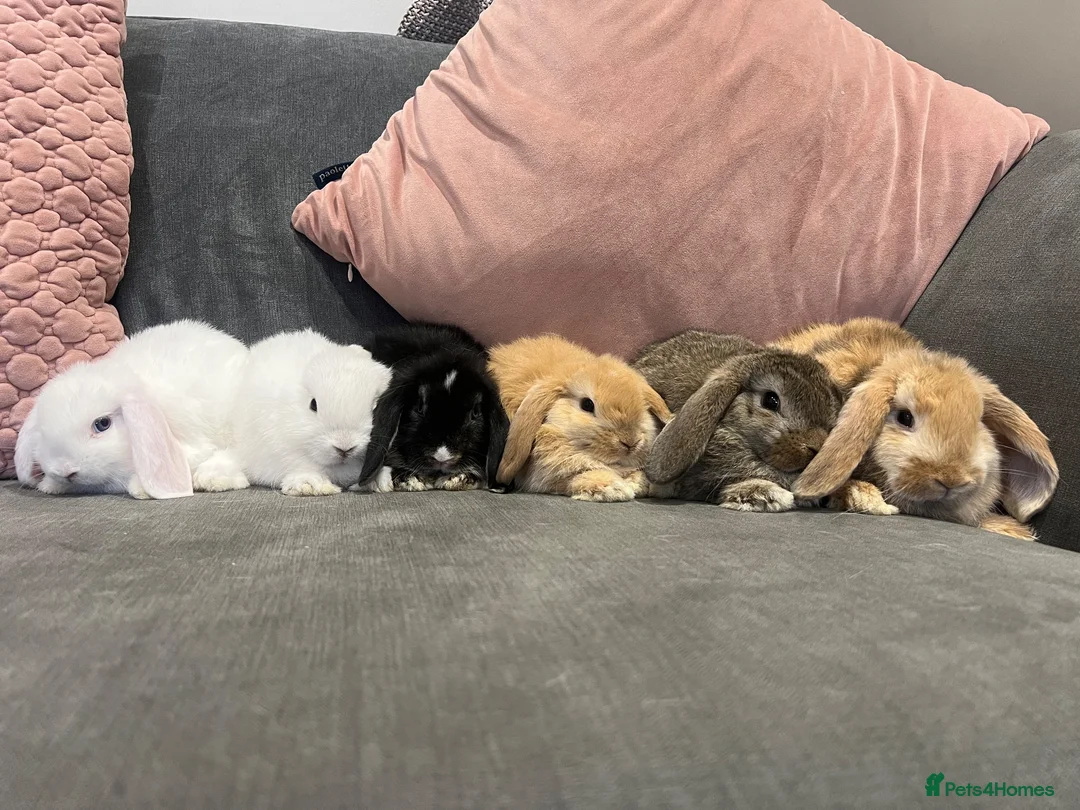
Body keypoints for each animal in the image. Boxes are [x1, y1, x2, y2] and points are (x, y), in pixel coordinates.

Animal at [14, 319, 250, 499]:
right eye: (42, 433)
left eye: (102, 424)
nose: (65, 471)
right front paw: (49, 485)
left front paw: (141, 488)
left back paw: (212, 479)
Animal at [488, 334, 672, 502]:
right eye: (587, 405)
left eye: (643, 405)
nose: (630, 442)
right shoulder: (546, 476)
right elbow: (575, 478)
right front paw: (614, 489)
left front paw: (638, 483)